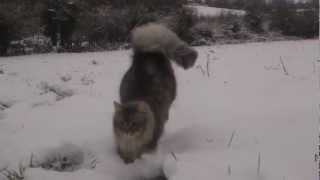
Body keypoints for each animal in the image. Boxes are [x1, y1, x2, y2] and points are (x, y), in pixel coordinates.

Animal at [112, 22, 198, 163]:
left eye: (134, 124)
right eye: (122, 123)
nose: (127, 132)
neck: (132, 143)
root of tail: (149, 52)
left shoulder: (150, 143)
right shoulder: (122, 147)